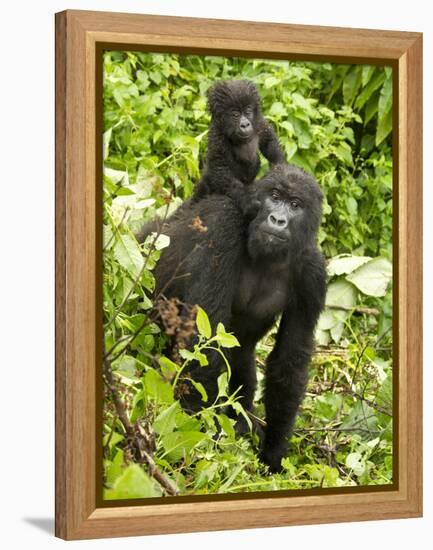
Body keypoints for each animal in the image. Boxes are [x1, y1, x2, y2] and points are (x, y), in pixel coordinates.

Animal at [140, 165, 326, 474]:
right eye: (275, 197)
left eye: (295, 205)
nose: (278, 219)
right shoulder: (223, 222)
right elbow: (205, 337)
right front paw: (196, 433)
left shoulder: (313, 272)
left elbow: (290, 360)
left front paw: (273, 451)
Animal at [192, 80, 284, 213]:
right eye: (235, 114)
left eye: (247, 111)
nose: (245, 124)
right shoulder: (217, 135)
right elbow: (221, 169)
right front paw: (247, 200)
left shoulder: (259, 122)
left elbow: (269, 142)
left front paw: (281, 168)